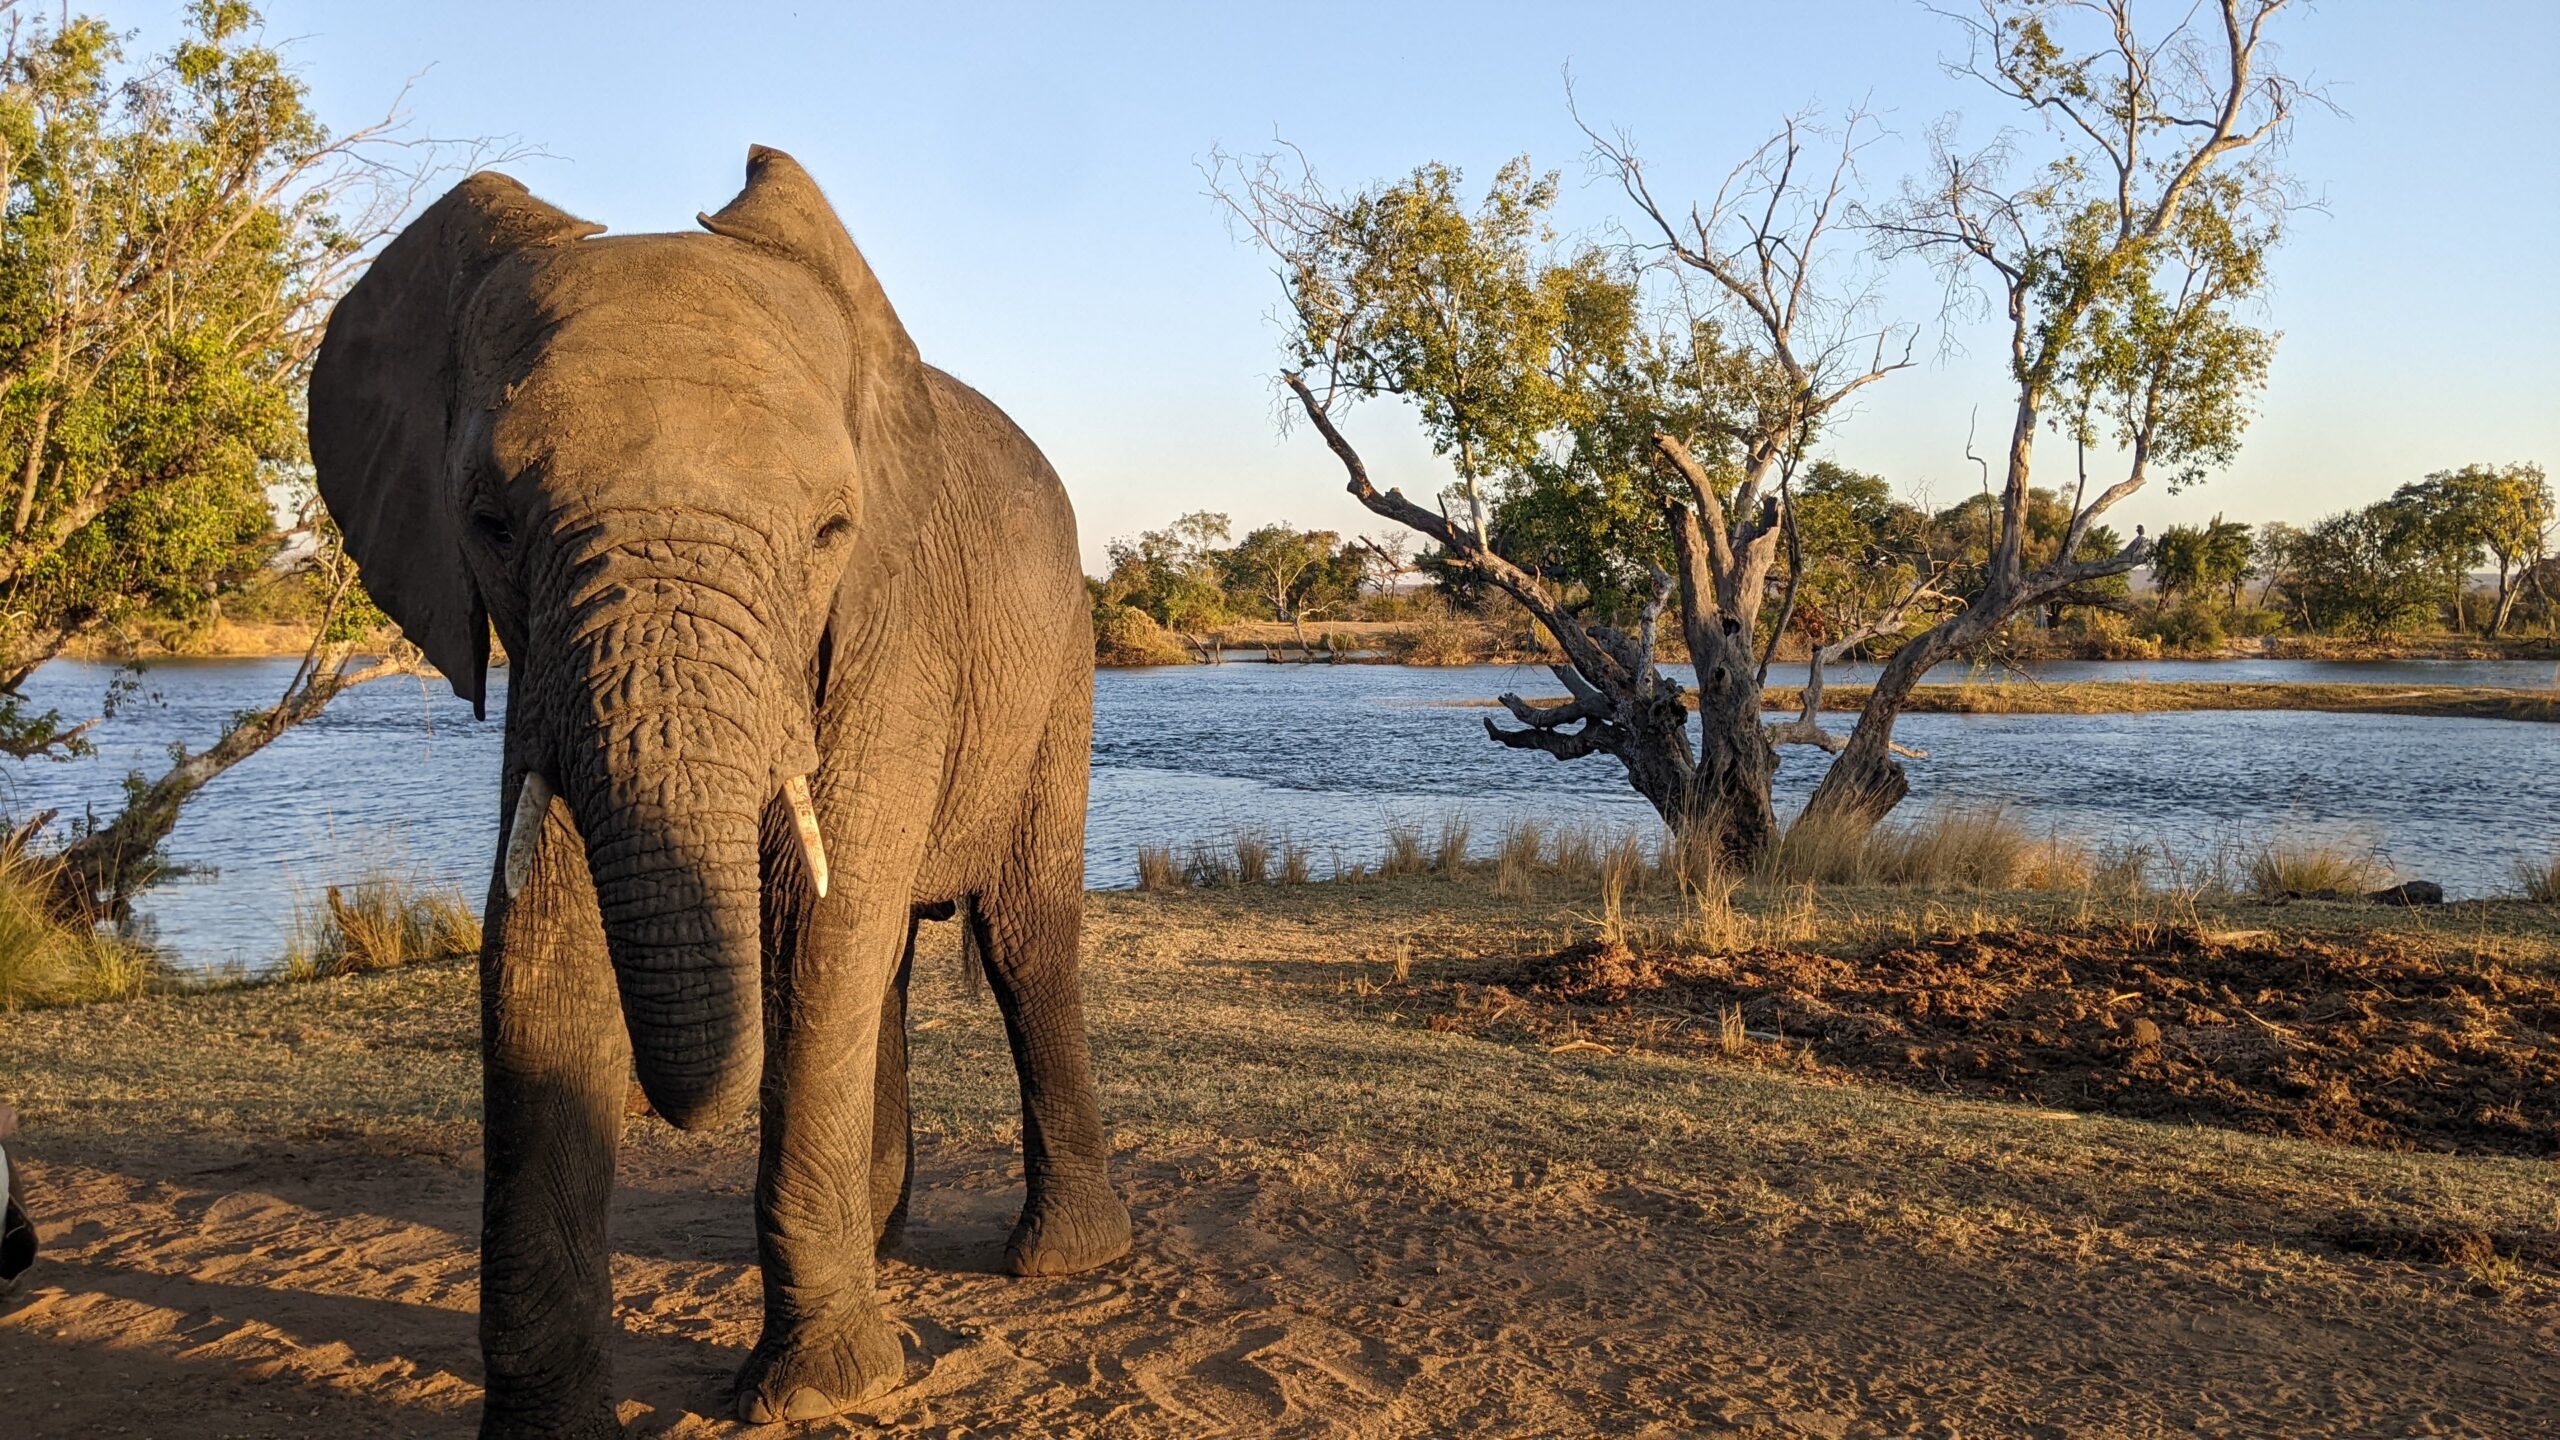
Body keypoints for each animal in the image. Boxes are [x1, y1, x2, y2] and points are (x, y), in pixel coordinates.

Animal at [309, 142, 1131, 1424]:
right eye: (488, 523)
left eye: (832, 531)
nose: (685, 1113)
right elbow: (538, 947)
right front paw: (554, 1427)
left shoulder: (889, 629)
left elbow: (815, 932)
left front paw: (820, 1397)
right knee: (892, 960)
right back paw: (882, 1242)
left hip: (1058, 674)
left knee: (1018, 937)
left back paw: (1059, 1260)